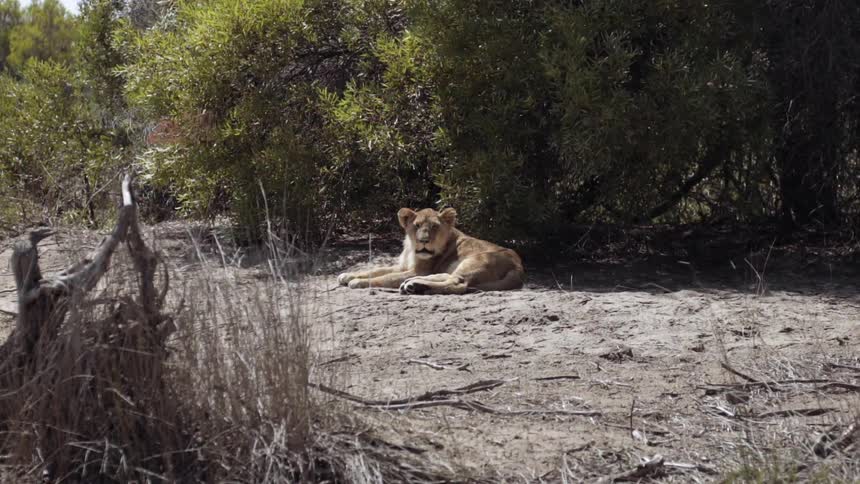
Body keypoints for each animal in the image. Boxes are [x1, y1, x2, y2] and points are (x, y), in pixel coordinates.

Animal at [337, 208, 525, 295]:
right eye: (417, 225)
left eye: (434, 226)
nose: (424, 241)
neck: (411, 249)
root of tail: (519, 267)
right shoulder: (403, 267)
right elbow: (376, 269)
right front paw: (347, 275)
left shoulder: (418, 270)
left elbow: (386, 277)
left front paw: (357, 282)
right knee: (446, 276)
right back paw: (413, 284)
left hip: (474, 260)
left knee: (457, 283)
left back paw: (415, 286)